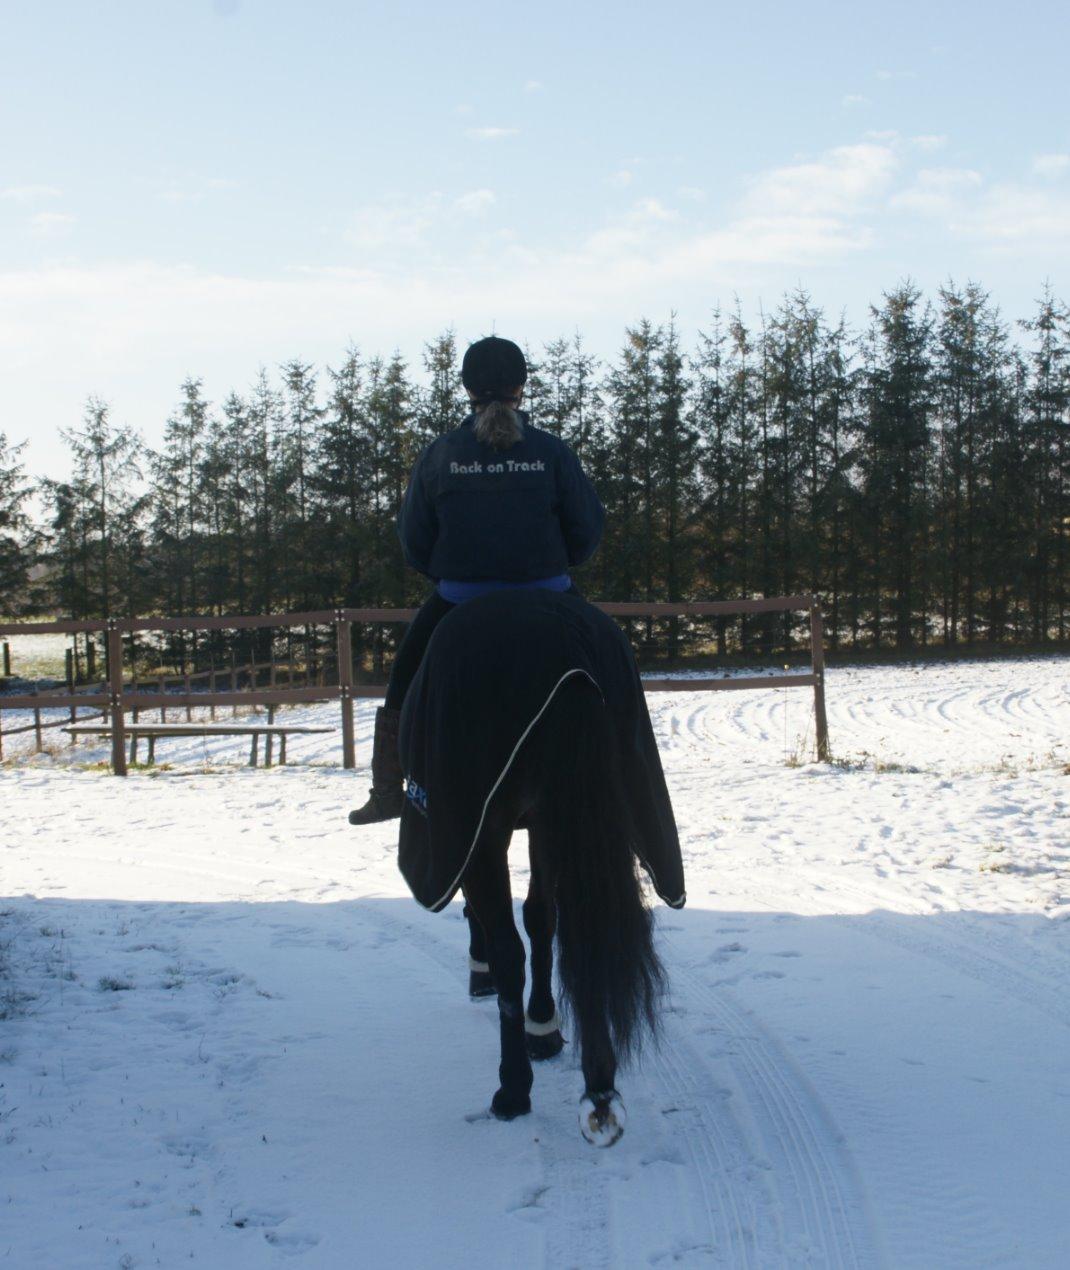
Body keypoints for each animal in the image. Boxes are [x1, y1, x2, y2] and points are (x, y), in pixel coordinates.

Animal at [393, 589, 685, 1148]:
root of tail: (566, 648)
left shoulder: (478, 831)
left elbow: (504, 928)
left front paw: (487, 979)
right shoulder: (542, 827)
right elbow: (542, 919)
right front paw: (545, 1026)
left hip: (492, 825)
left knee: (511, 948)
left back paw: (513, 1089)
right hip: (565, 815)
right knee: (575, 928)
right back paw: (599, 1089)